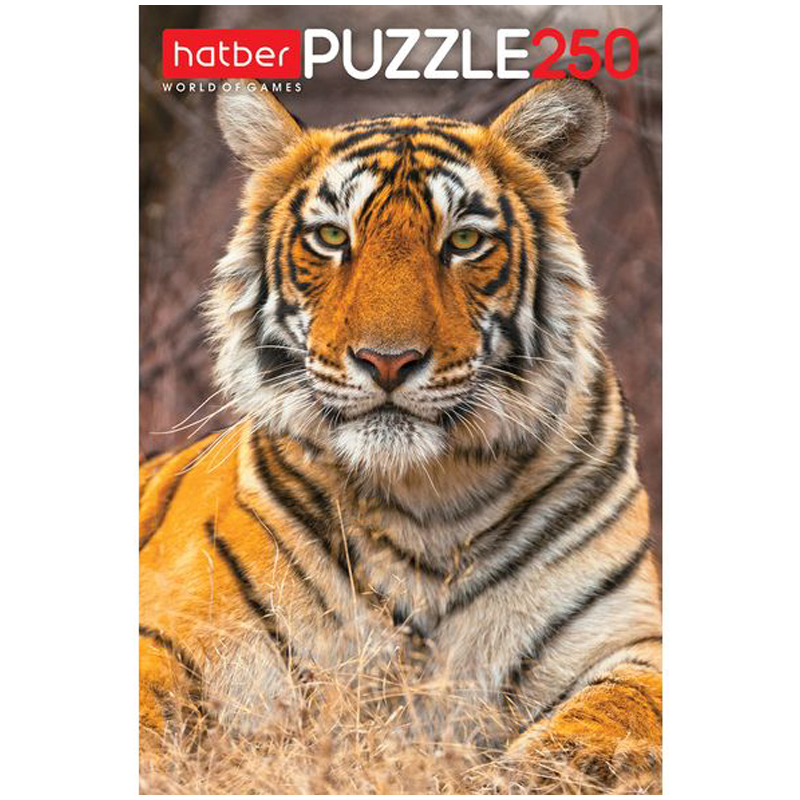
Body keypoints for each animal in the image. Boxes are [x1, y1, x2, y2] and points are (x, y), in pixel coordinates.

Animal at [139, 77, 662, 784]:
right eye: (331, 236)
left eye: (464, 242)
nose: (388, 360)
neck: (430, 500)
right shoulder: (165, 633)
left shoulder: (630, 634)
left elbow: (618, 708)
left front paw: (550, 767)